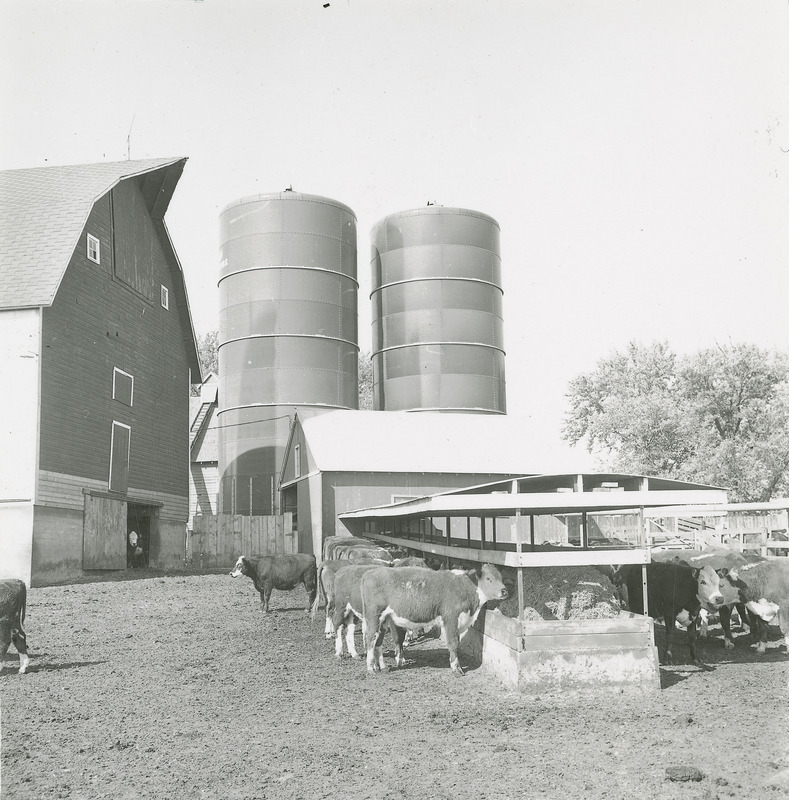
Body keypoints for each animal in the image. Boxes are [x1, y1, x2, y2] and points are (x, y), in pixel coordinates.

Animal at [360, 564, 508, 676]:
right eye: (489, 578)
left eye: (501, 578)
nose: (504, 591)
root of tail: (370, 573)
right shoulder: (451, 619)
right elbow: (453, 644)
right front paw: (456, 668)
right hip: (374, 616)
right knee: (370, 639)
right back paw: (371, 668)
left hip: (384, 620)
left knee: (378, 642)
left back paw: (382, 667)